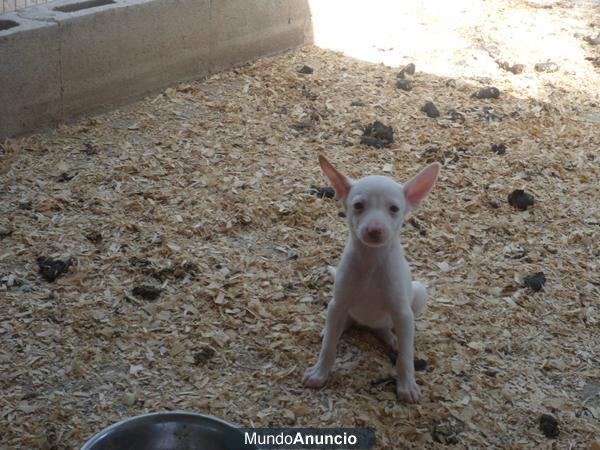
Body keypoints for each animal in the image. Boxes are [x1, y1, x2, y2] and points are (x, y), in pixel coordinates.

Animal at [302, 156, 438, 404]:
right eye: (358, 205)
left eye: (394, 209)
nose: (375, 230)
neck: (371, 261)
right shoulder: (338, 302)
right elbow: (328, 348)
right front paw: (319, 373)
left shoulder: (403, 312)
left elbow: (406, 357)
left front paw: (407, 386)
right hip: (339, 310)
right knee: (342, 324)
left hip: (418, 293)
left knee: (385, 328)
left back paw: (391, 338)